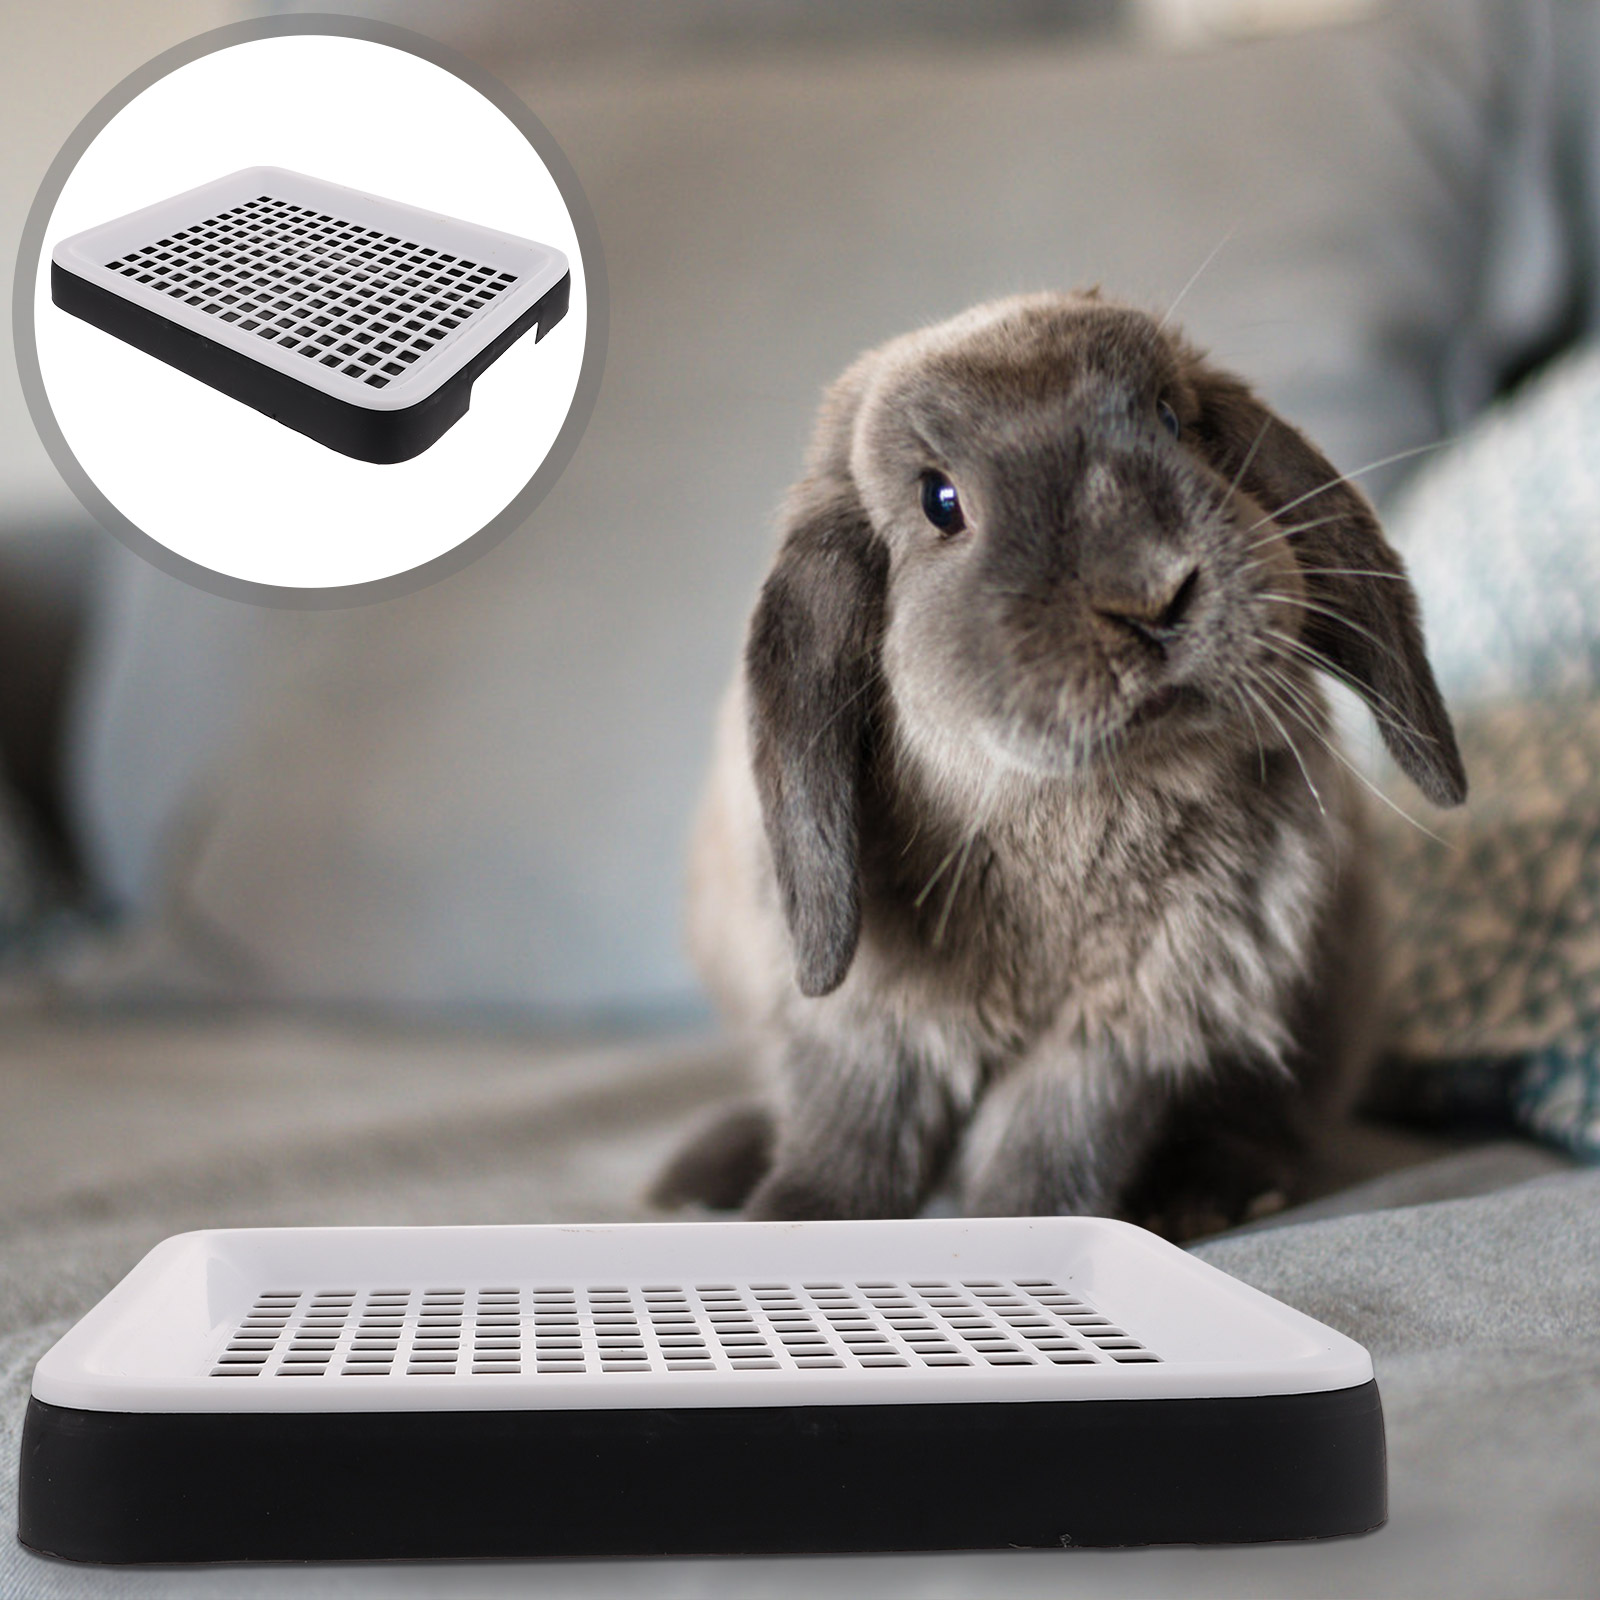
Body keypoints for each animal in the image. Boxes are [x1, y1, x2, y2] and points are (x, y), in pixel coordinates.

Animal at [651, 290, 1466, 1238]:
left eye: (1171, 420)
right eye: (940, 502)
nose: (1152, 594)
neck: (1066, 810)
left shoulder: (1125, 1026)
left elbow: (1051, 1137)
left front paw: (1027, 1222)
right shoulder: (864, 1023)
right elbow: (851, 1132)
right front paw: (792, 1221)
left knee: (1274, 1123)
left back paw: (1212, 1190)